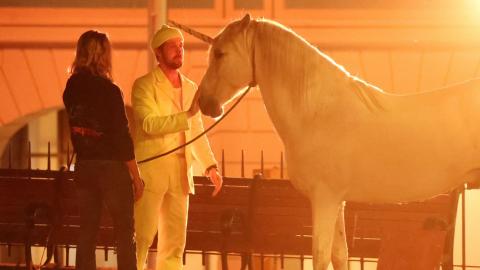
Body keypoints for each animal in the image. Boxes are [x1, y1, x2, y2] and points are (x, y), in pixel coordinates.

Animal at [195, 14, 480, 268]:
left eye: (220, 53)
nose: (204, 103)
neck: (318, 112)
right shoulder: (338, 201)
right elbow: (340, 254)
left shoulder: (324, 199)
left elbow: (320, 256)